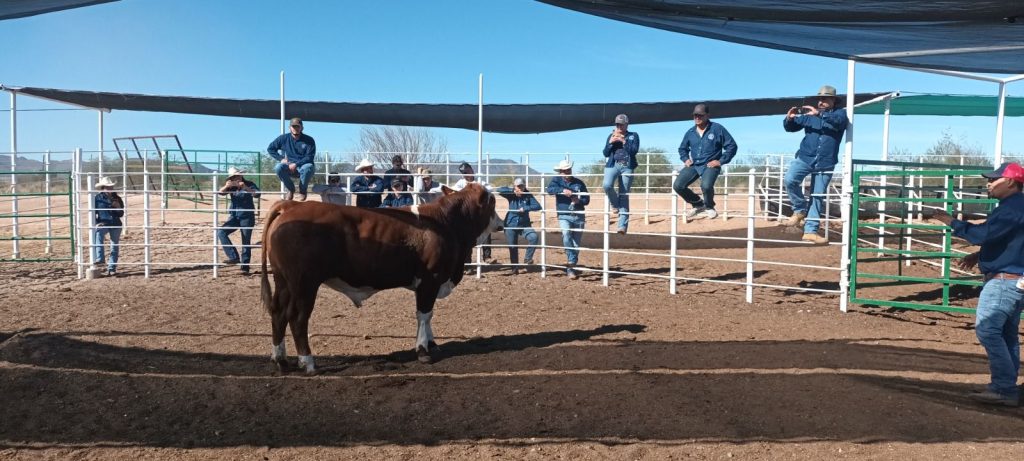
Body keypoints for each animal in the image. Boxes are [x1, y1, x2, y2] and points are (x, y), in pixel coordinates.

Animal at [260, 182, 499, 372]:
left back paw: (280, 360)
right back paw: (307, 362)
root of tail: (292, 206)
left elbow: (429, 315)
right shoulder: (430, 280)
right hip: (304, 283)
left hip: (283, 281)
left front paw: (432, 344)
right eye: (493, 202)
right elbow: (424, 315)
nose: (499, 222)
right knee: (298, 318)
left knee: (278, 313)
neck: (445, 224)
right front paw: (423, 350)